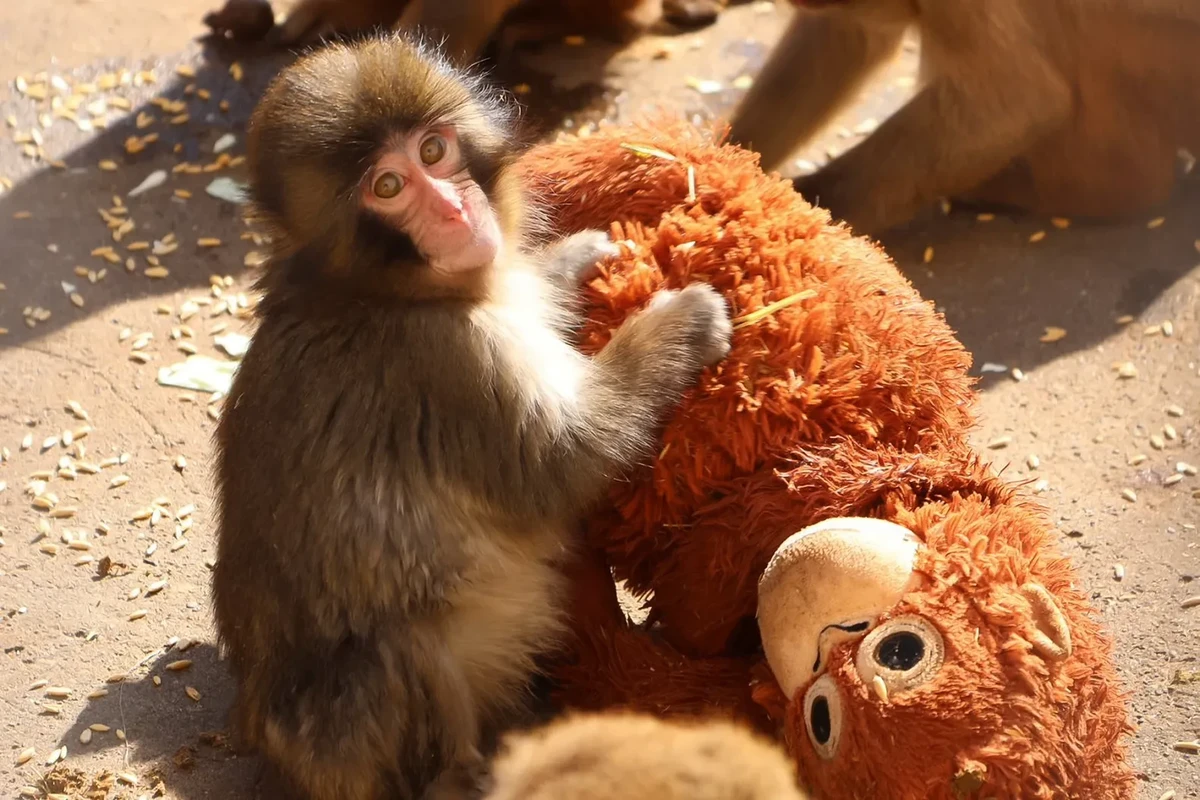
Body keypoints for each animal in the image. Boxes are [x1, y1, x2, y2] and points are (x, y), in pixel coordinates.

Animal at [210, 32, 733, 800]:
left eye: (433, 151)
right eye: (387, 187)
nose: (455, 213)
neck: (377, 291)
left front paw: (573, 258)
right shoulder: (449, 362)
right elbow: (563, 462)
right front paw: (681, 323)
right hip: (344, 743)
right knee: (398, 648)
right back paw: (471, 772)